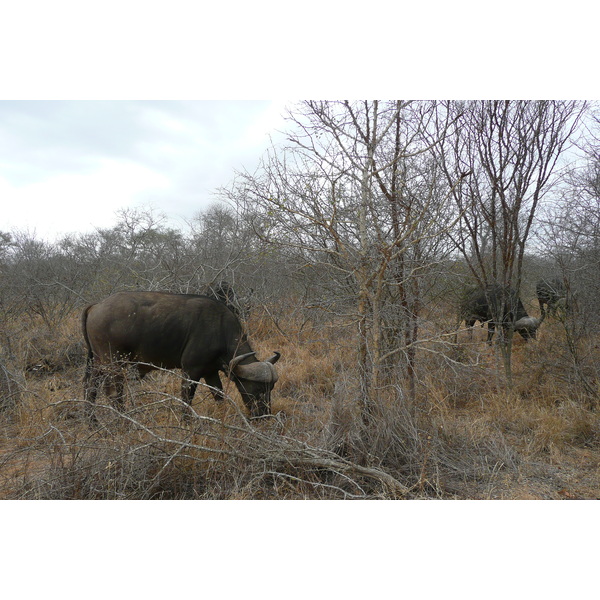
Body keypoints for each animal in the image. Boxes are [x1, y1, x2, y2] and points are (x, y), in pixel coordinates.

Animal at [80, 292, 284, 420]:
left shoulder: (210, 372)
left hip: (98, 362)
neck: (219, 330)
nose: (264, 415)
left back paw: (92, 423)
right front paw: (187, 423)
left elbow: (218, 396)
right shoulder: (190, 371)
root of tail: (96, 306)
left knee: (91, 389)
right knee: (114, 394)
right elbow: (187, 400)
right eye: (257, 389)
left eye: (271, 389)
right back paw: (123, 423)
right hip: (113, 363)